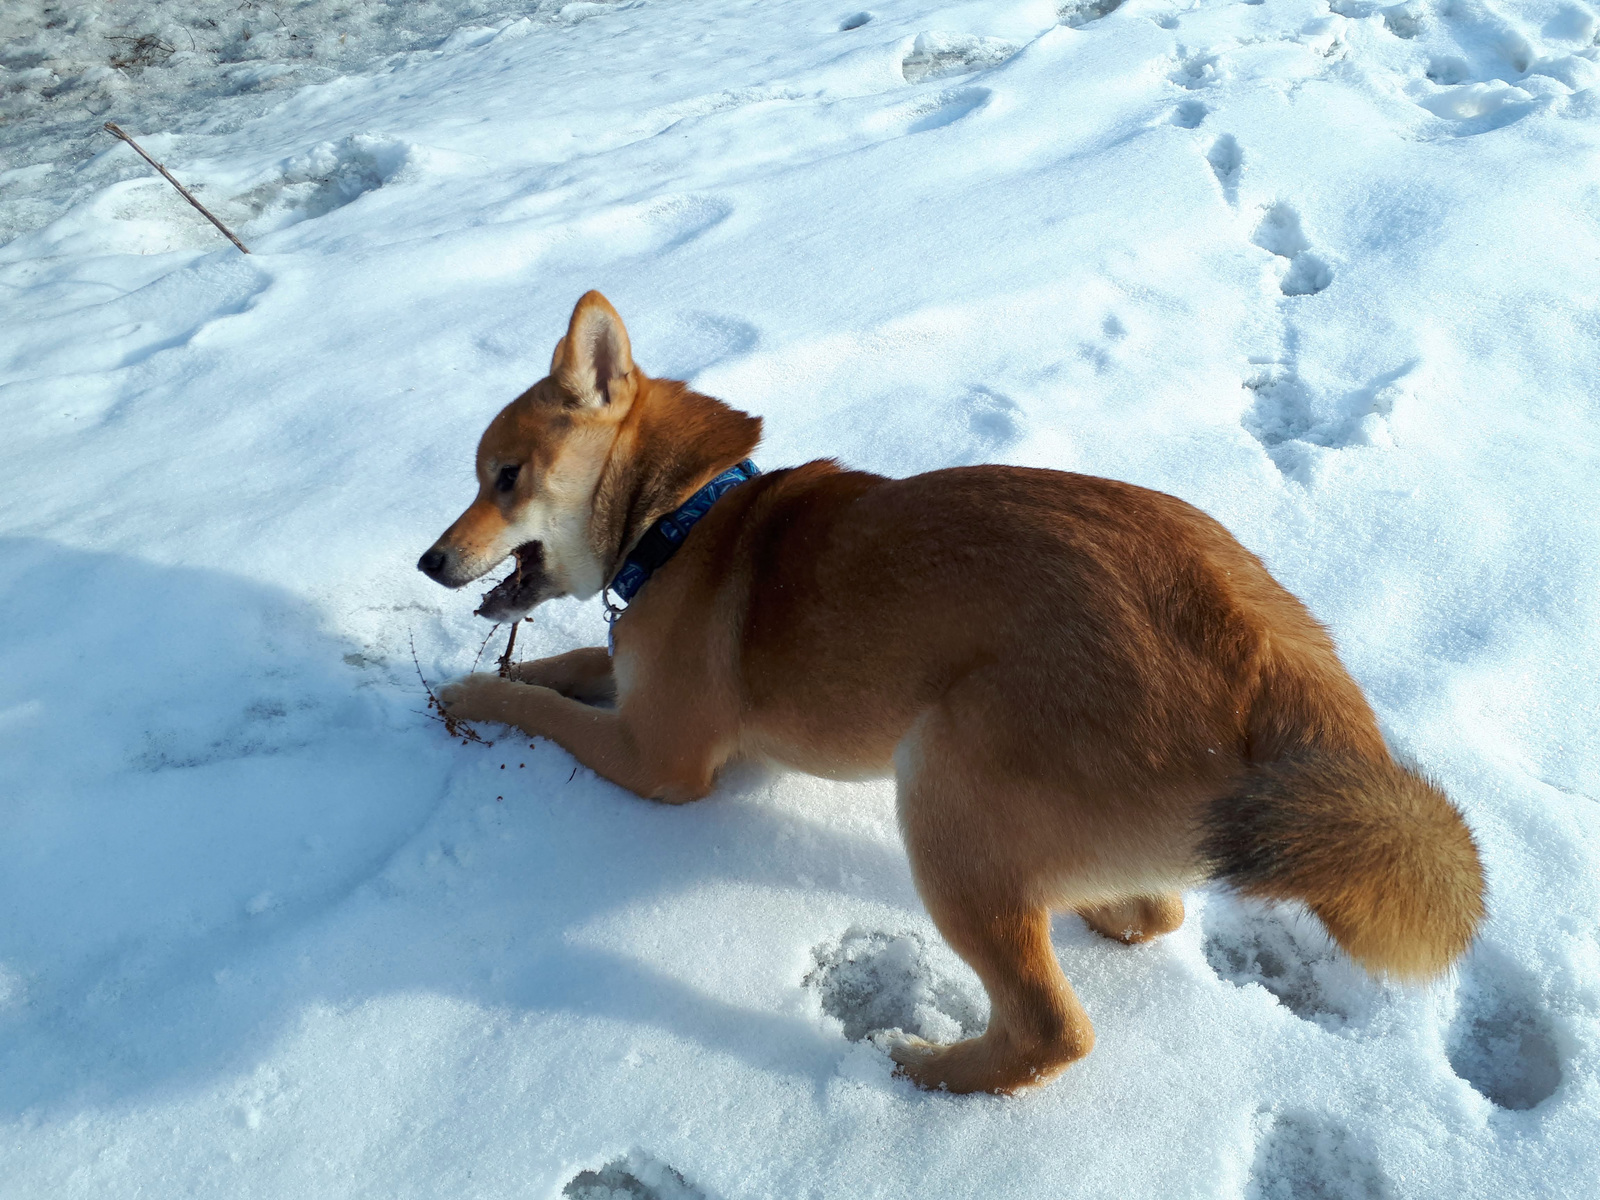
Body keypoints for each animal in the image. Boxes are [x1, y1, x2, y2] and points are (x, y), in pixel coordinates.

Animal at [422, 291, 1484, 1100]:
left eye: (504, 477)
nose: (429, 561)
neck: (683, 517)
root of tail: (1266, 653)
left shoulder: (658, 759)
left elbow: (546, 708)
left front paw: (469, 694)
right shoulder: (632, 684)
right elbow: (566, 668)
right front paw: (492, 674)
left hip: (940, 783)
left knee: (1052, 1031)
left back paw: (927, 1073)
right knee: (1154, 915)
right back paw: (1099, 905)